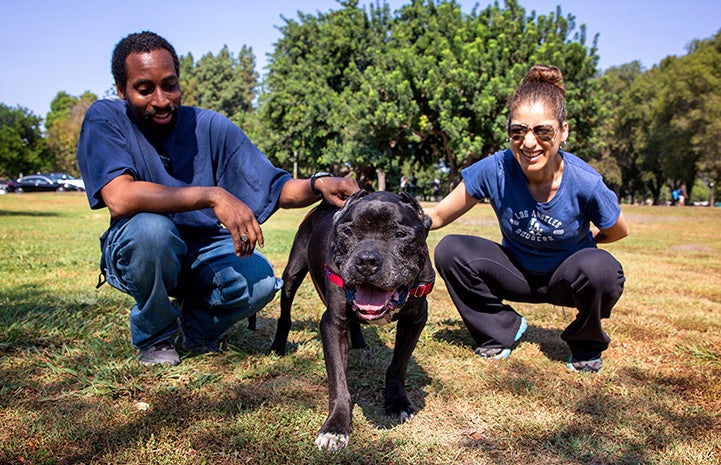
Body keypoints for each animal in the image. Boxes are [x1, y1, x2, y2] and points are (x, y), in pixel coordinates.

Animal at [270, 189, 434, 450]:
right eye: (348, 232)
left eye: (400, 234)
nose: (366, 260)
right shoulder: (332, 324)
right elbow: (339, 382)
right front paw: (335, 427)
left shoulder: (415, 319)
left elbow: (398, 365)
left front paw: (397, 402)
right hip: (292, 274)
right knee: (285, 311)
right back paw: (278, 346)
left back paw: (359, 342)